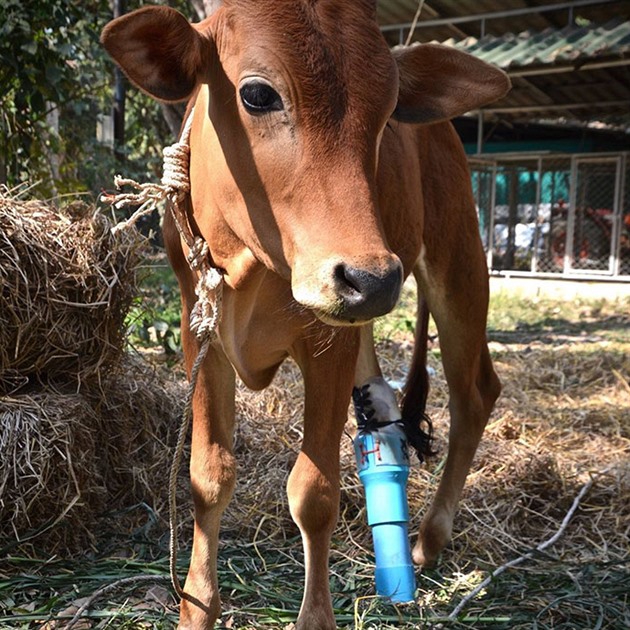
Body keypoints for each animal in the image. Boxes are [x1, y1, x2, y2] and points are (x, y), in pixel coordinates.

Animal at [102, 2, 508, 628]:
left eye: (389, 110)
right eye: (257, 94)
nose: (372, 280)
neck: (254, 261)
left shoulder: (328, 342)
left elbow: (314, 492)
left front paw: (315, 616)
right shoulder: (202, 331)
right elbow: (208, 476)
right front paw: (196, 606)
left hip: (457, 258)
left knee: (474, 392)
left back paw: (429, 539)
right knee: (384, 407)